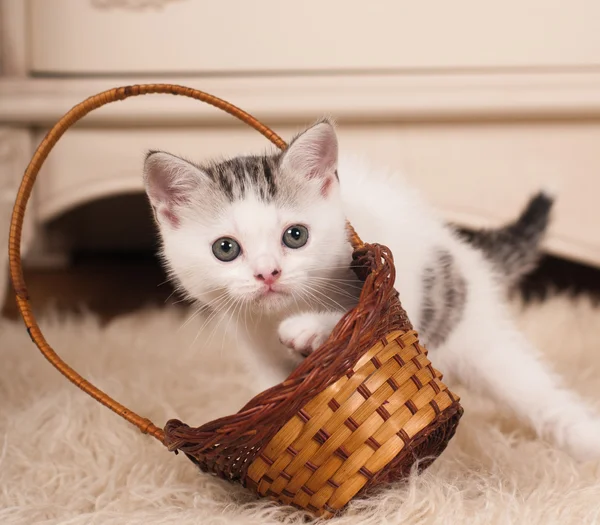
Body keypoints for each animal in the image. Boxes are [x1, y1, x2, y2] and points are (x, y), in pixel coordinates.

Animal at [144, 119, 600, 462]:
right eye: (226, 249)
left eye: (295, 236)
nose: (268, 273)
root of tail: (465, 252)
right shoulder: (256, 345)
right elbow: (276, 395)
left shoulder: (395, 276)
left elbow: (361, 315)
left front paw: (310, 329)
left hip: (477, 334)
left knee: (542, 397)